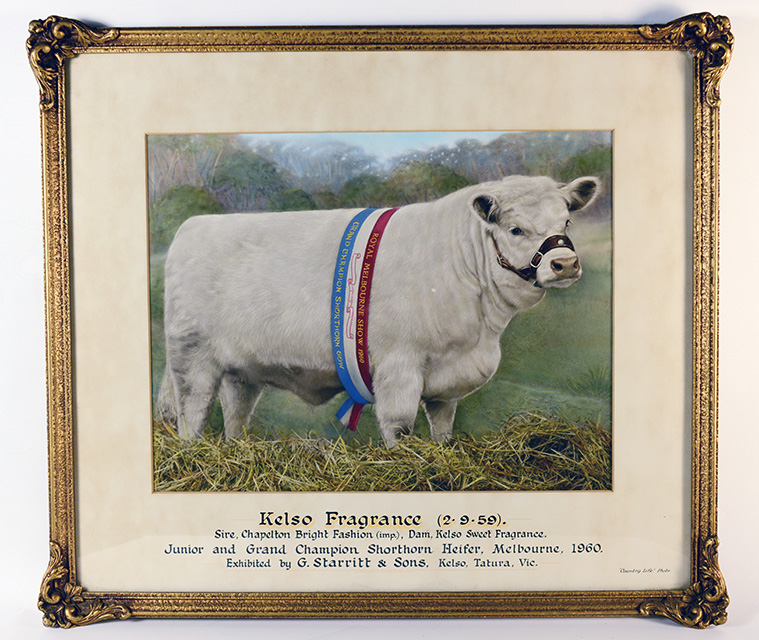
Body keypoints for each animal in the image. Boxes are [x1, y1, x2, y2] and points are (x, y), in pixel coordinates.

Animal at [156, 175, 600, 446]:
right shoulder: (399, 365)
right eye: (515, 229)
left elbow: (443, 425)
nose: (565, 264)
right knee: (192, 413)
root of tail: (191, 226)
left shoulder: (448, 377)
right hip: (192, 357)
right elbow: (399, 425)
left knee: (235, 413)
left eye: (566, 222)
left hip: (240, 369)